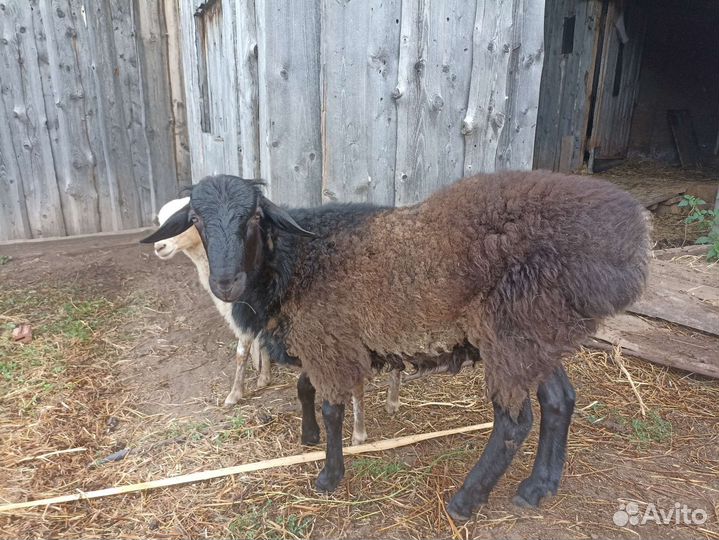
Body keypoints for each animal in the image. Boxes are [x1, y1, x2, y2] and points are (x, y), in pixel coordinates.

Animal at [141, 170, 651, 522]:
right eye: (196, 219)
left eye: (252, 217)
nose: (225, 282)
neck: (296, 259)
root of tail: (628, 241)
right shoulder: (323, 337)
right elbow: (306, 390)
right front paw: (308, 438)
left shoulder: (328, 339)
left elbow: (332, 408)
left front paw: (330, 475)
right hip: (538, 335)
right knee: (560, 400)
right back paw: (539, 487)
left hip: (511, 330)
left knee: (514, 421)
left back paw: (466, 499)